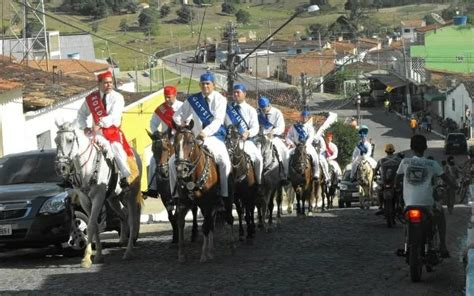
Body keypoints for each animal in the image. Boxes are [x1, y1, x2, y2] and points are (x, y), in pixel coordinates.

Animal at [54, 120, 142, 268]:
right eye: (55, 140)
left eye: (70, 140)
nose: (61, 167)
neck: (86, 169)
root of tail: (134, 153)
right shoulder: (85, 201)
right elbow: (94, 225)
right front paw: (98, 256)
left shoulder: (98, 198)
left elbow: (90, 226)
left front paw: (86, 258)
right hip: (113, 199)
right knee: (123, 215)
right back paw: (123, 240)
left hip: (130, 195)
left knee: (132, 220)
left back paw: (129, 251)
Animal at [174, 121, 233, 262]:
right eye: (174, 142)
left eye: (190, 142)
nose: (181, 169)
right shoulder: (183, 203)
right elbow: (180, 224)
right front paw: (181, 254)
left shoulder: (207, 203)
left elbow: (205, 227)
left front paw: (203, 255)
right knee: (211, 223)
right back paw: (211, 250)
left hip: (227, 199)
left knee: (229, 218)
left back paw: (231, 246)